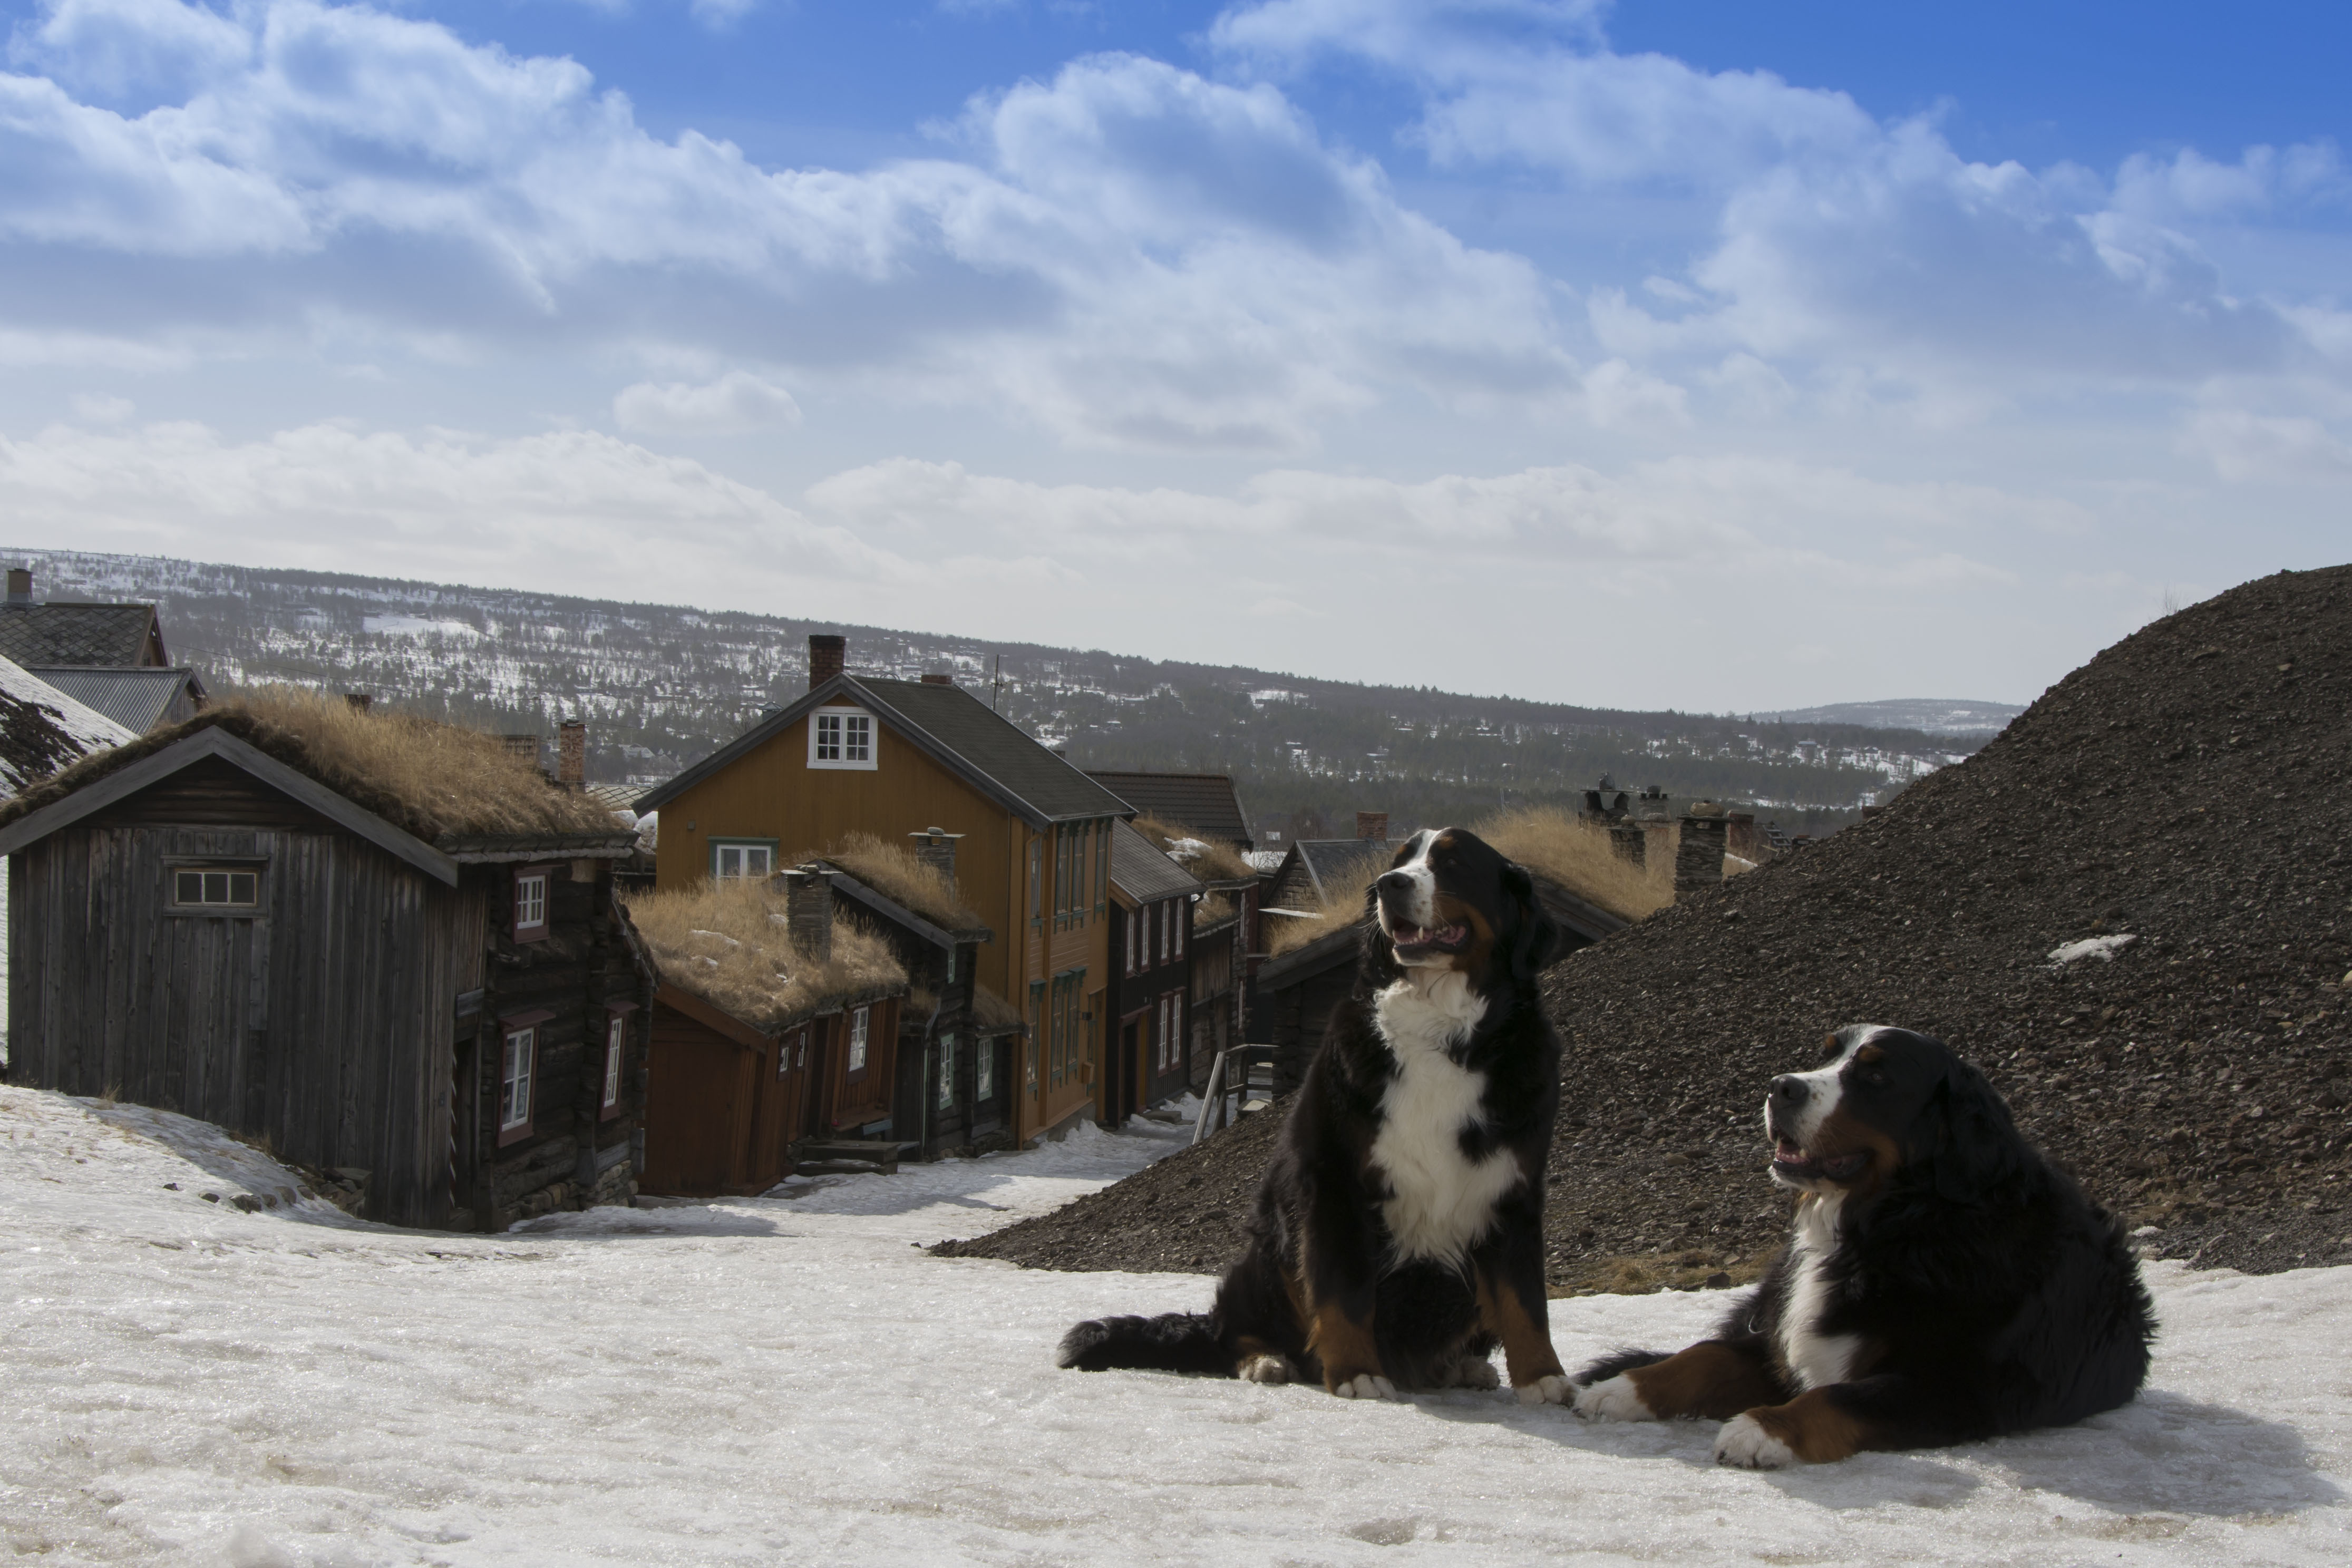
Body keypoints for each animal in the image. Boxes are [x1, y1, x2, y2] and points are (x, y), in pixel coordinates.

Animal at [1059, 827, 1571, 1401]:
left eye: (1453, 862)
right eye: (1400, 860)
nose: (1388, 884)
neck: (1444, 1032)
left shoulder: (1512, 1188)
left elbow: (1524, 1300)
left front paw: (1544, 1377)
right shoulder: (1334, 1178)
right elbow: (1344, 1293)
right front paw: (1356, 1371)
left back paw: (1462, 1367)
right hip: (1268, 1254)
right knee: (1232, 1329)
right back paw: (1265, 1360)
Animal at [1573, 1025, 2154, 1466]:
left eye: (1875, 1075)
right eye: (1828, 1054)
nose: (1780, 1086)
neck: (1896, 1223)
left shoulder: (1955, 1386)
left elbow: (1839, 1395)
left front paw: (1761, 1429)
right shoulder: (1776, 1342)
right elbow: (1705, 1356)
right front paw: (1622, 1389)